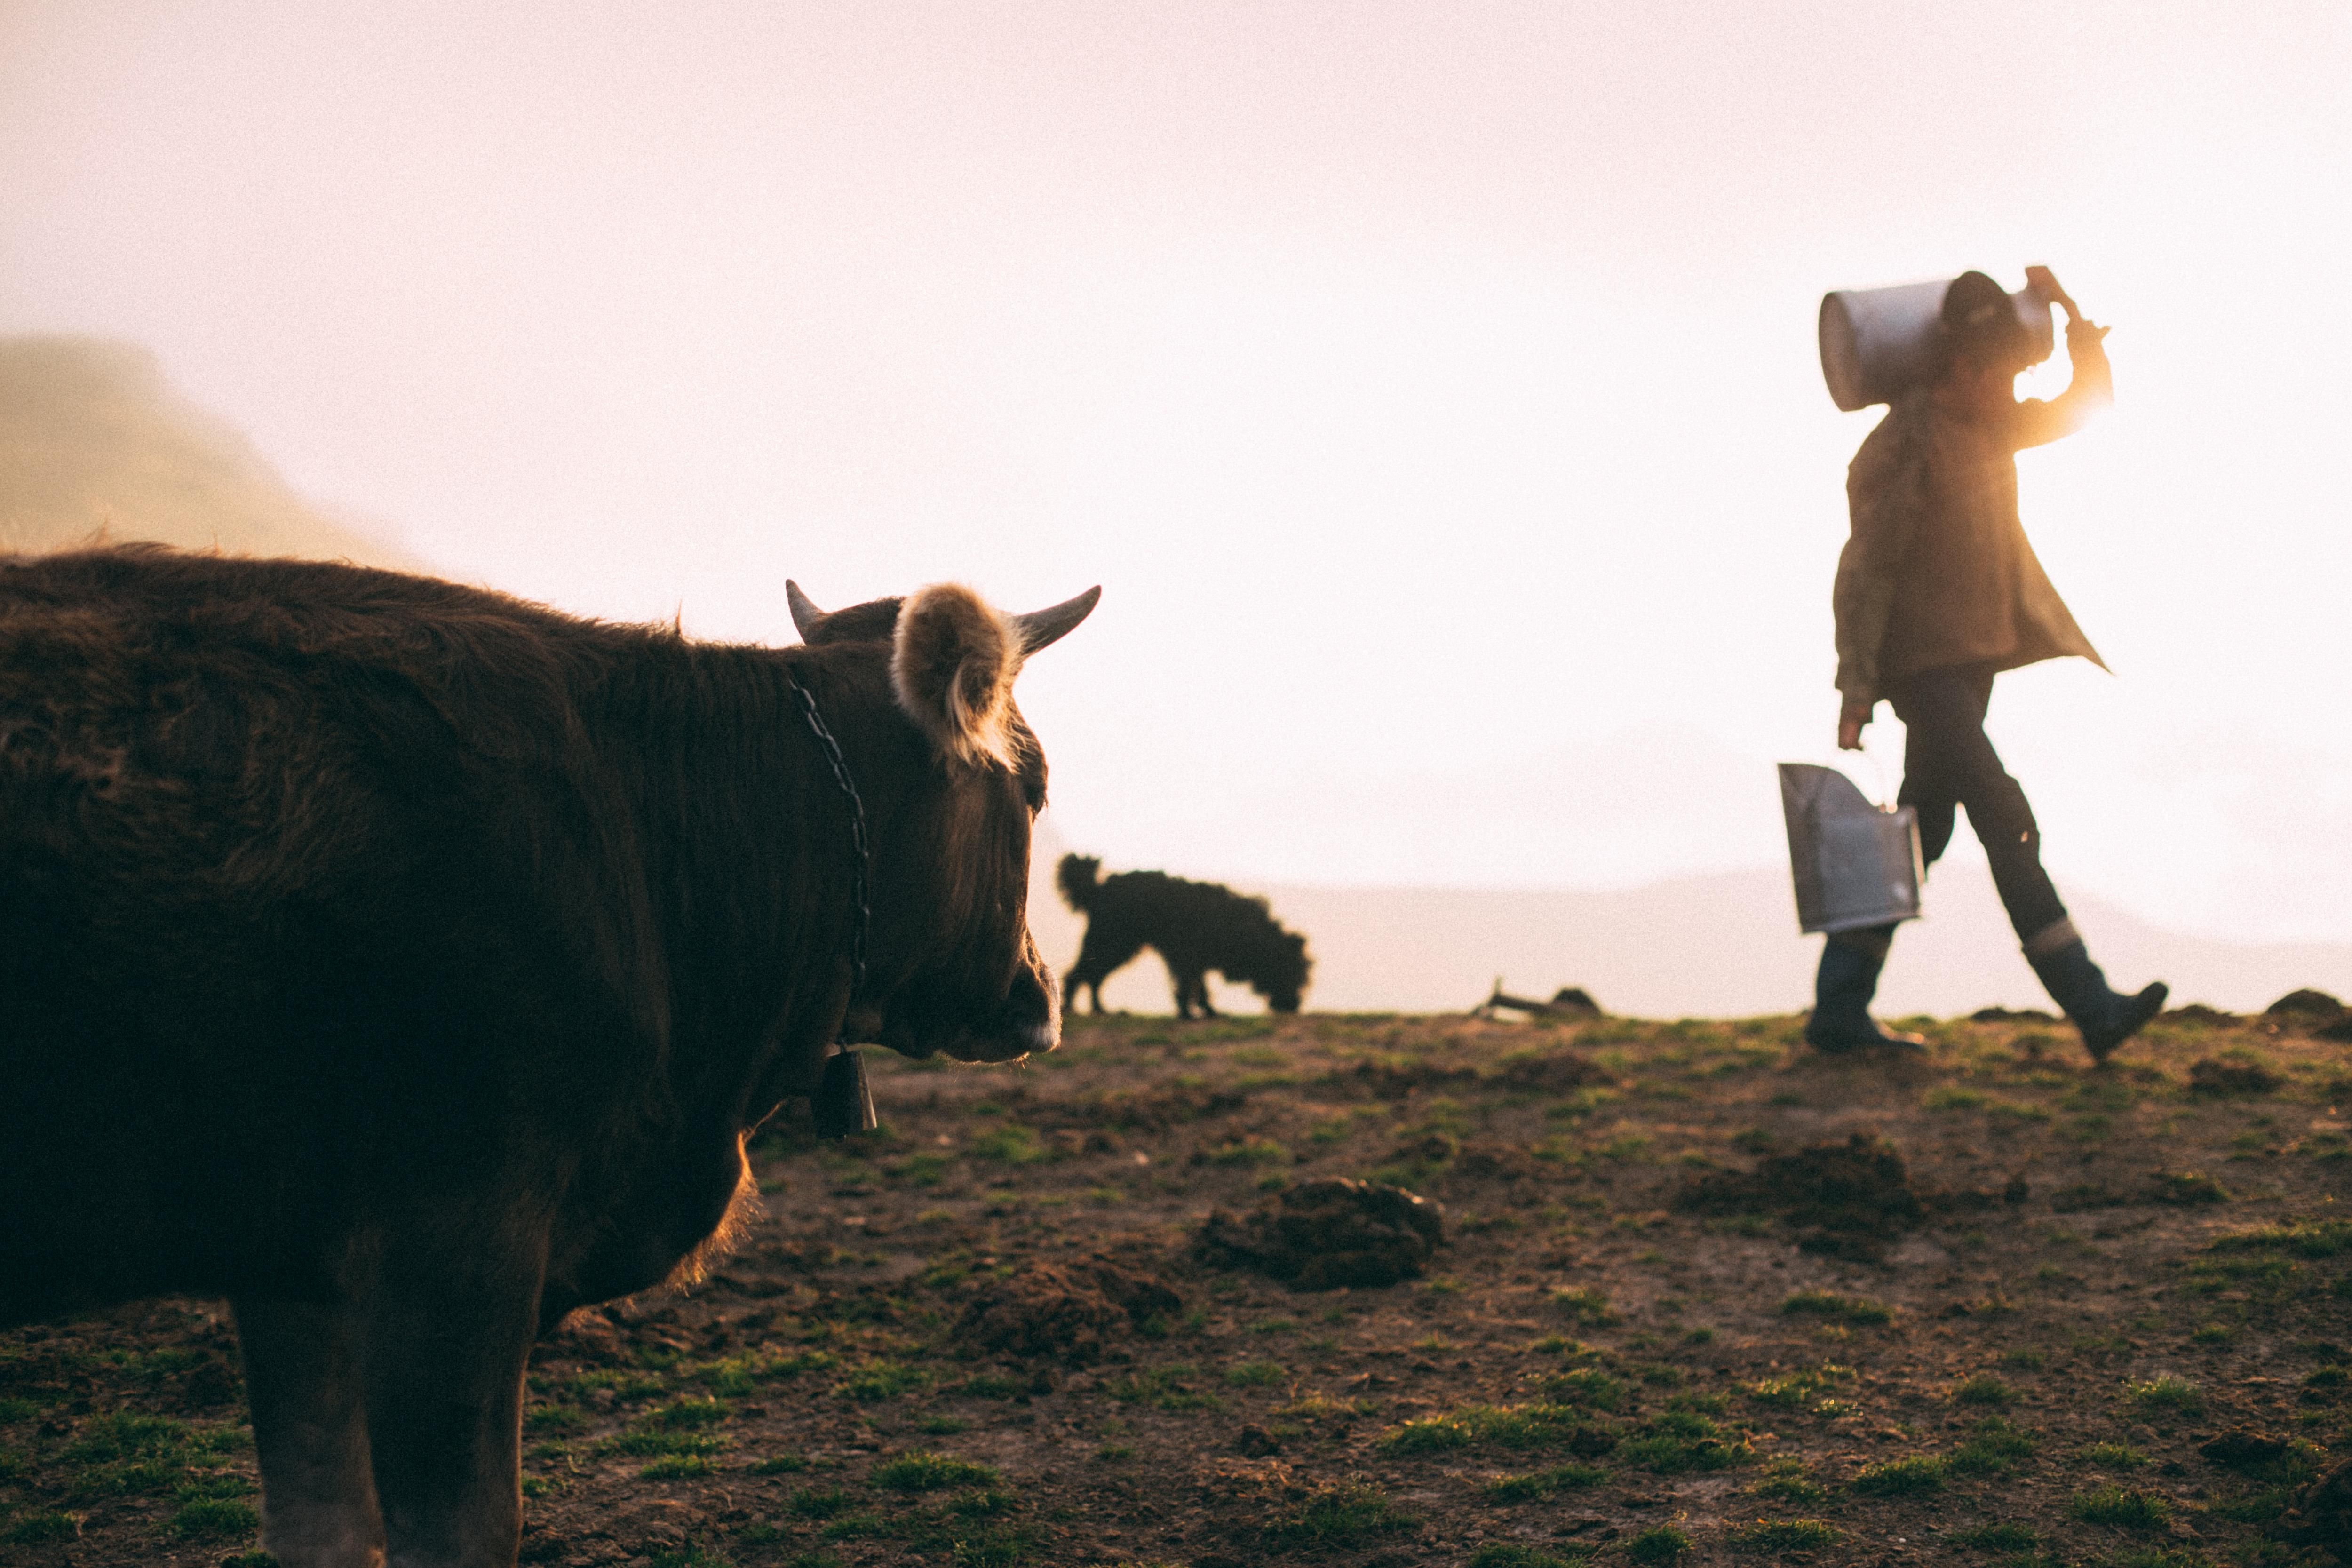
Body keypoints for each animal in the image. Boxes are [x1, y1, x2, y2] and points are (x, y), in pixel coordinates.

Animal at [0, 545, 1101, 1561]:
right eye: (1037, 787)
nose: (1039, 992)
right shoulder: (453, 1234)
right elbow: (465, 1525)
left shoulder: (287, 1254)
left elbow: (322, 1519)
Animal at [1063, 860, 1317, 1020]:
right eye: (1294, 973)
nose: (1295, 1007)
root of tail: (1097, 887)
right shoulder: (1185, 957)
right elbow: (1189, 988)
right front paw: (1188, 1014)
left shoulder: (1197, 960)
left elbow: (1201, 988)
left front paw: (1209, 1012)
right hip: (1112, 943)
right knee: (1081, 973)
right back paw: (1074, 1008)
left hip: (1119, 946)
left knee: (1093, 976)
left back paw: (1100, 1010)